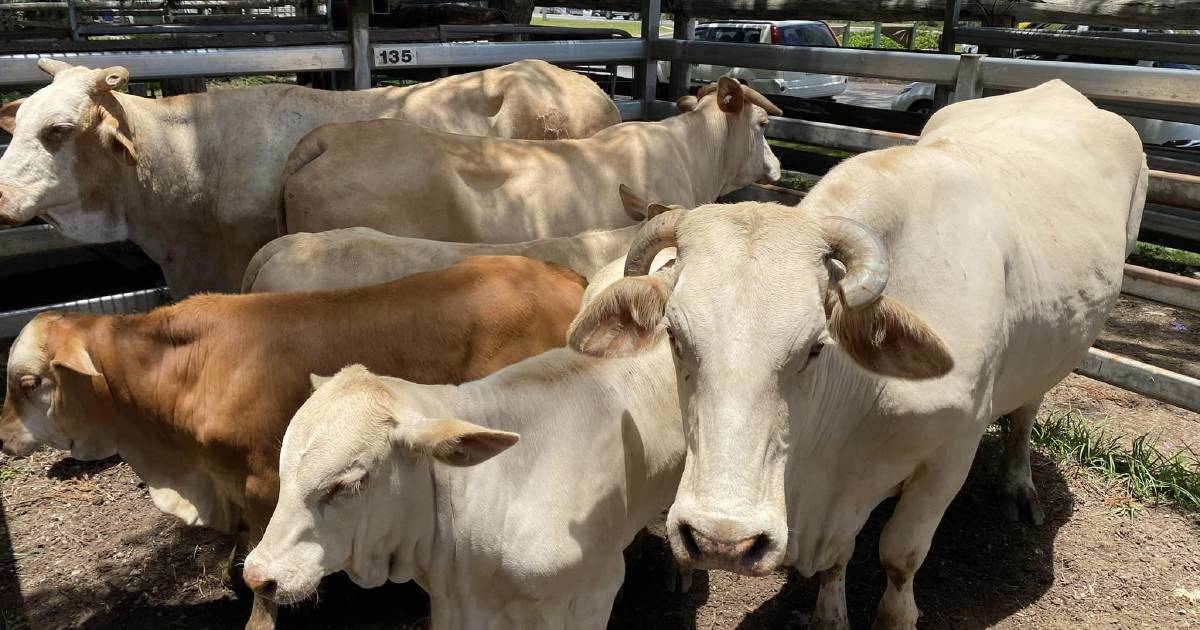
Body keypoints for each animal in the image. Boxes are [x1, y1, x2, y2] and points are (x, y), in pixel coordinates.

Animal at [566, 81, 1147, 624]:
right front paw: (829, 614)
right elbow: (838, 559)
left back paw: (1018, 487)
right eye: (675, 337)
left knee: (1026, 413)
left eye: (815, 347)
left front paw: (897, 615)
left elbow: (901, 555)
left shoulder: (951, 453)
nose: (720, 540)